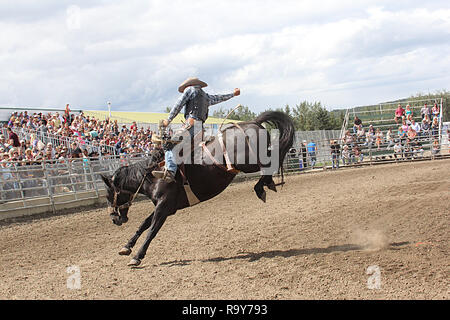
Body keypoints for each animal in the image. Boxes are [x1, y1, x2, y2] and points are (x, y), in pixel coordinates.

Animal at [100, 111, 294, 266]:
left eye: (109, 195)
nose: (114, 219)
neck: (154, 175)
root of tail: (253, 122)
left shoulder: (164, 207)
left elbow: (152, 230)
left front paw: (137, 256)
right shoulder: (164, 206)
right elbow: (144, 224)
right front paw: (126, 247)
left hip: (249, 163)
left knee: (273, 160)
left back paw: (262, 187)